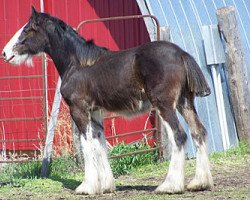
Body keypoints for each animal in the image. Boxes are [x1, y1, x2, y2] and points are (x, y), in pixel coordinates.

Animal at [1, 7, 213, 195]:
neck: (78, 64)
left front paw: (87, 187)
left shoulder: (78, 110)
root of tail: (181, 53)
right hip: (185, 102)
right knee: (198, 132)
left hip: (164, 105)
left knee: (179, 135)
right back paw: (200, 183)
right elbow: (99, 143)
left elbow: (87, 145)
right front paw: (105, 186)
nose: (4, 53)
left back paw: (170, 186)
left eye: (27, 29)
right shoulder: (95, 111)